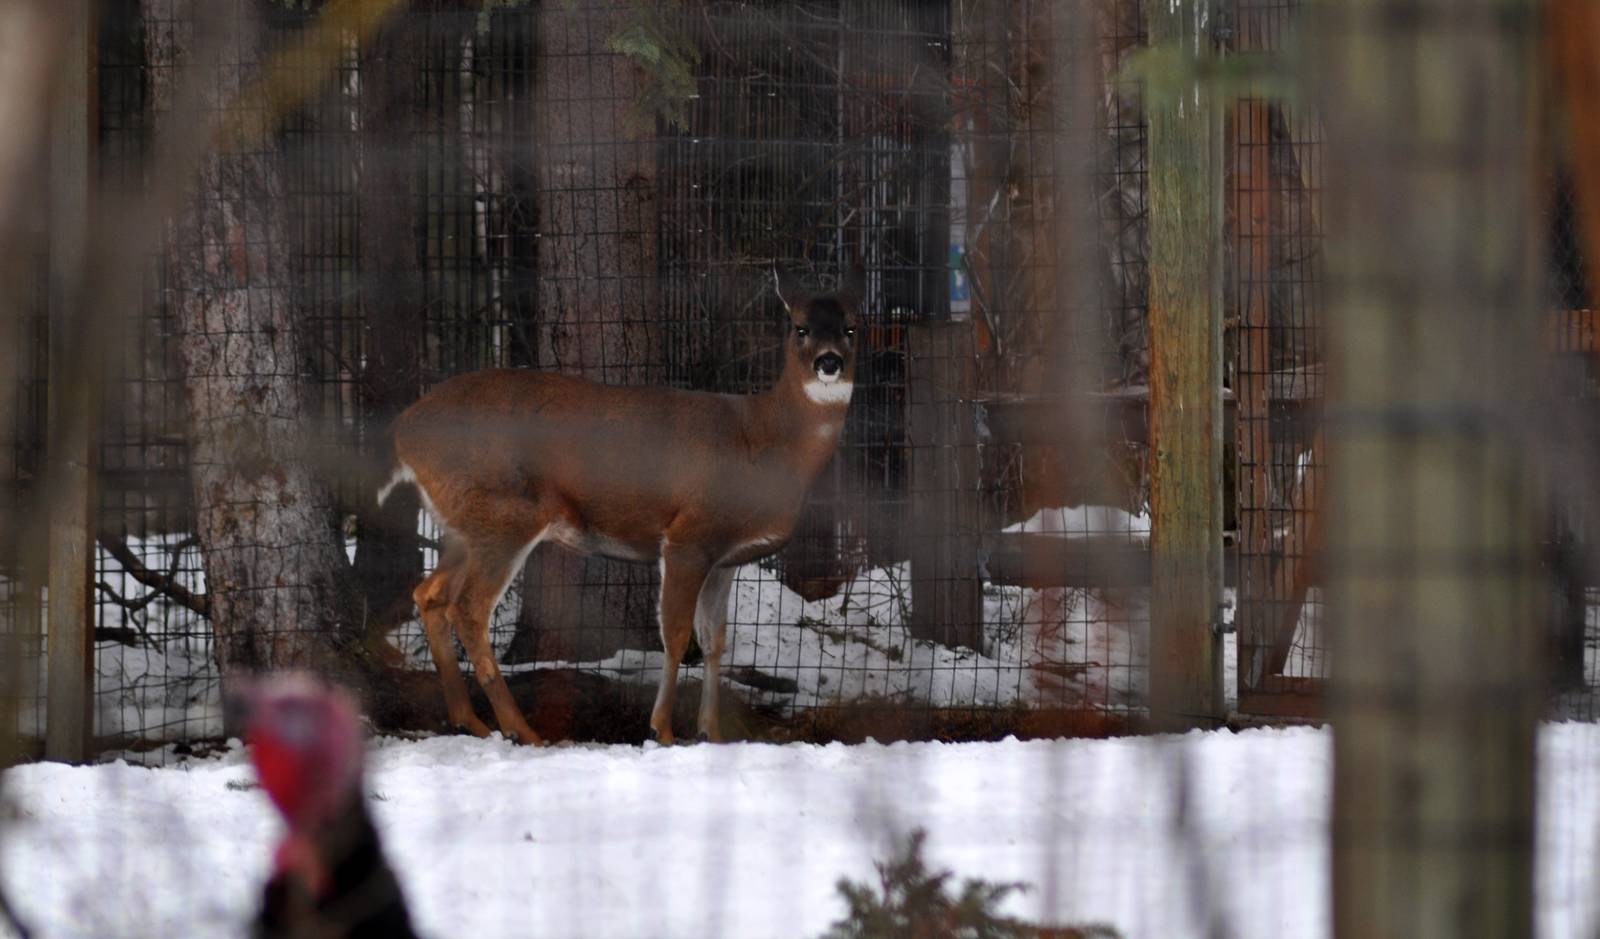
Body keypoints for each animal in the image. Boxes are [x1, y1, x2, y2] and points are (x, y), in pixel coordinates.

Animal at [377, 269, 860, 744]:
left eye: (852, 328)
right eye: (800, 328)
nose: (829, 362)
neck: (766, 440)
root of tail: (403, 431)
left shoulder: (726, 558)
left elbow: (714, 640)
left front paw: (713, 733)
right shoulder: (689, 535)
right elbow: (676, 635)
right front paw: (662, 729)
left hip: (464, 524)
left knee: (430, 594)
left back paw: (469, 721)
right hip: (505, 515)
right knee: (469, 609)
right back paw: (521, 730)